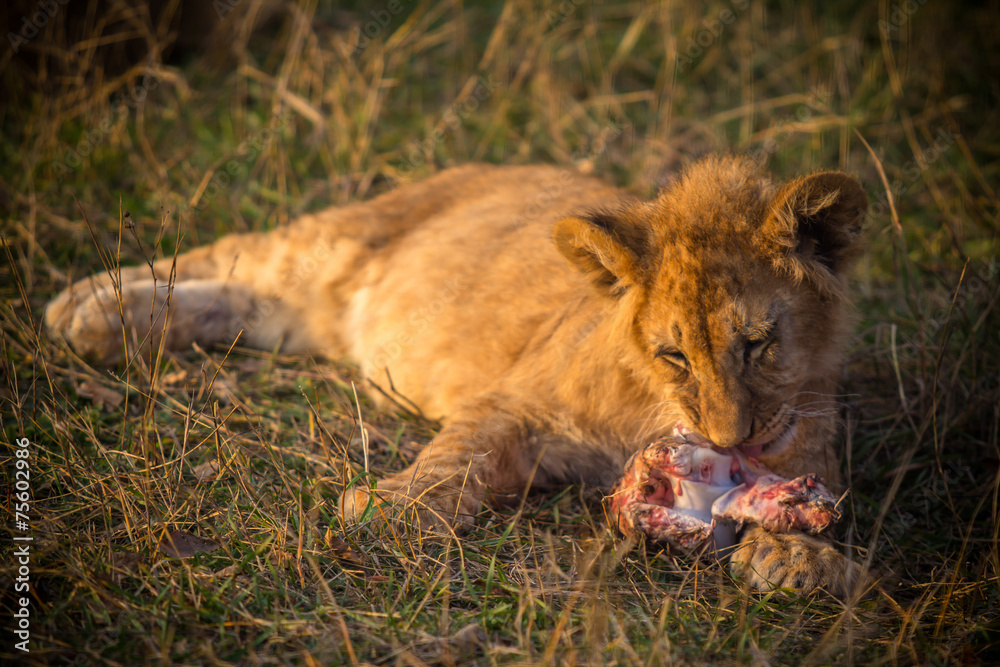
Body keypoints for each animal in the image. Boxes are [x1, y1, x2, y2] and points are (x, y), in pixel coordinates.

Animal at [45, 156, 868, 595]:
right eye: (674, 355)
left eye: (759, 343)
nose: (726, 440)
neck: (648, 406)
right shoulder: (516, 400)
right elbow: (458, 456)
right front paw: (388, 510)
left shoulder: (801, 435)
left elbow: (802, 495)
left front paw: (799, 556)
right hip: (334, 237)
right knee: (228, 252)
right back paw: (83, 307)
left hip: (293, 315)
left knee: (240, 303)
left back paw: (109, 322)